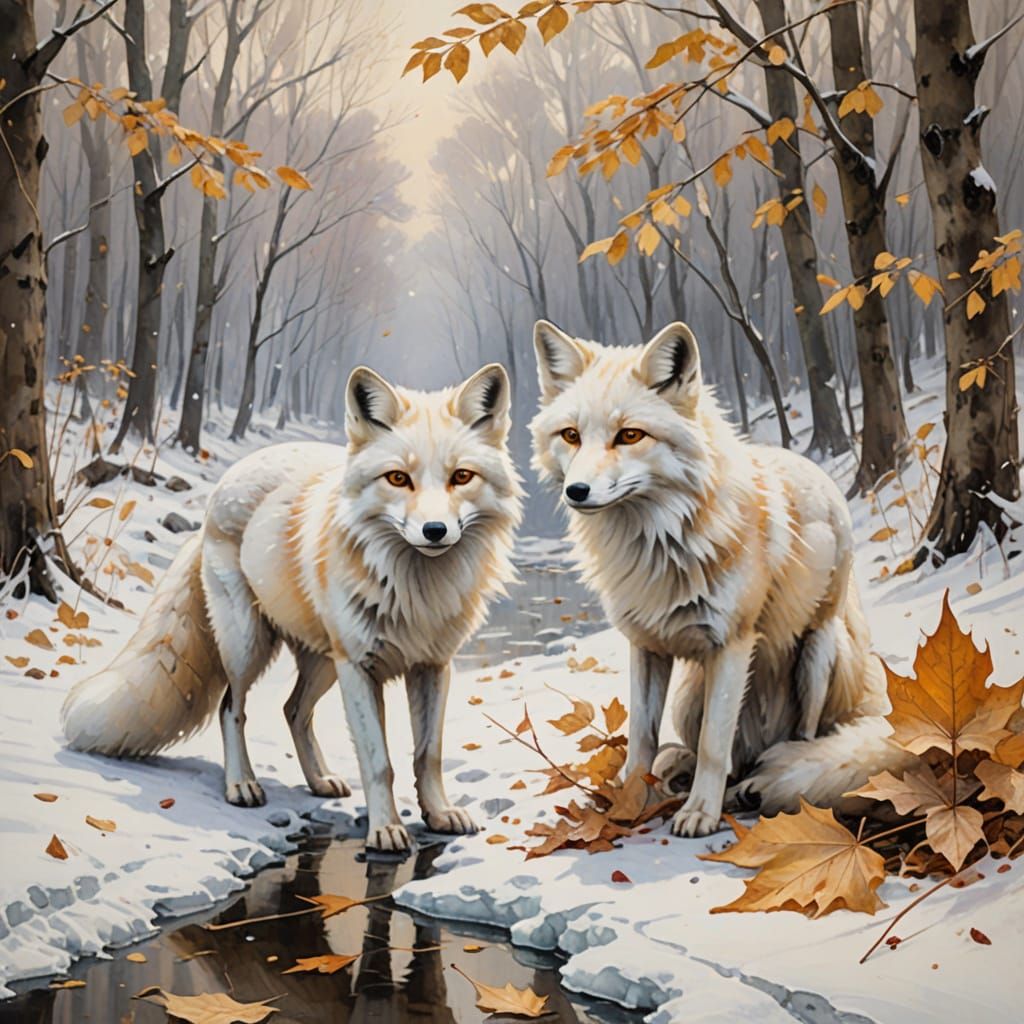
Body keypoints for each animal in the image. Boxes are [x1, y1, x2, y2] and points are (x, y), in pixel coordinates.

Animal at [62, 363, 523, 852]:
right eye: (398, 478)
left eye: (461, 477)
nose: (435, 530)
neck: (416, 590)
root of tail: (222, 486)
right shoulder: (358, 666)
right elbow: (379, 762)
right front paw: (385, 830)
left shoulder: (433, 666)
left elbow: (427, 755)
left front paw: (438, 815)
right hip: (250, 645)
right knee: (231, 707)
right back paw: (242, 785)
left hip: (322, 662)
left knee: (293, 711)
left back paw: (319, 780)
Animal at [530, 319, 913, 838]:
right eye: (570, 435)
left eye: (629, 435)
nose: (577, 491)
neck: (659, 547)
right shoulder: (645, 645)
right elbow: (642, 743)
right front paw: (629, 805)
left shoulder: (732, 643)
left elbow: (715, 746)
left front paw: (699, 812)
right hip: (689, 698)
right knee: (722, 754)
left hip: (817, 657)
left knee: (798, 741)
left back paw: (751, 789)